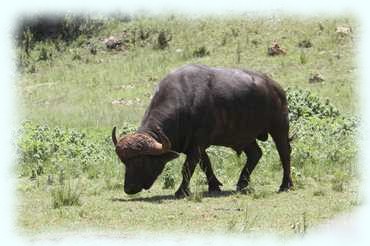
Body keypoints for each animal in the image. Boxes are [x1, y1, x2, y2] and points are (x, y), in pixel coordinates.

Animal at [111, 64, 294, 198]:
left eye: (141, 161)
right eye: (125, 162)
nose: (129, 188)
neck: (185, 104)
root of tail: (277, 88)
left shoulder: (197, 145)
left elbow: (187, 167)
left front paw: (181, 191)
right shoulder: (195, 145)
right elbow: (205, 164)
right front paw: (214, 186)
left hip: (279, 127)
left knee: (284, 153)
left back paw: (285, 185)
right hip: (244, 136)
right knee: (256, 154)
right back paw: (242, 183)